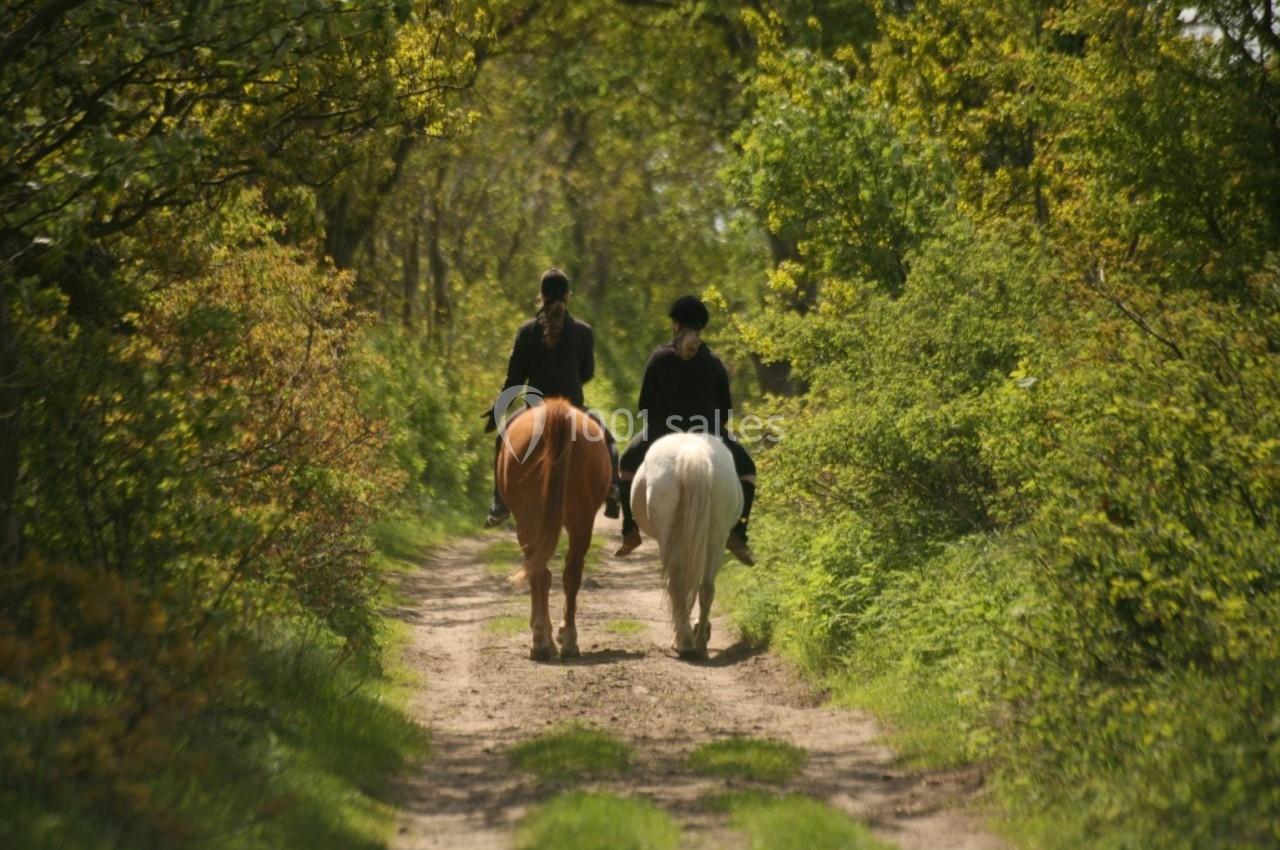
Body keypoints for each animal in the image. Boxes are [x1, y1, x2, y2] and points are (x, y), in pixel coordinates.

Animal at [497, 398, 612, 661]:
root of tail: (556, 413)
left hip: (531, 520)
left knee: (544, 572)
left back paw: (545, 641)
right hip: (578, 520)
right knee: (567, 573)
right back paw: (562, 640)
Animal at [630, 432, 743, 659]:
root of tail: (693, 453)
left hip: (668, 536)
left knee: (677, 582)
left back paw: (684, 643)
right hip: (716, 536)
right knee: (704, 587)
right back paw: (699, 643)